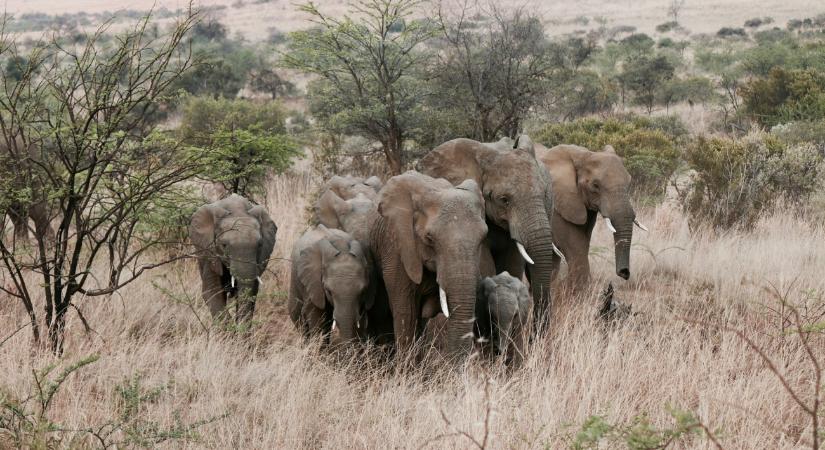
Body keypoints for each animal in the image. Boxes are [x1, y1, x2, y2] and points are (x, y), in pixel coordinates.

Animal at [536, 144, 648, 292]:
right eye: (595, 185)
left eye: (629, 183)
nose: (624, 272)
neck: (583, 154)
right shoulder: (557, 205)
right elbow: (575, 245)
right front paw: (579, 294)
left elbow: (583, 243)